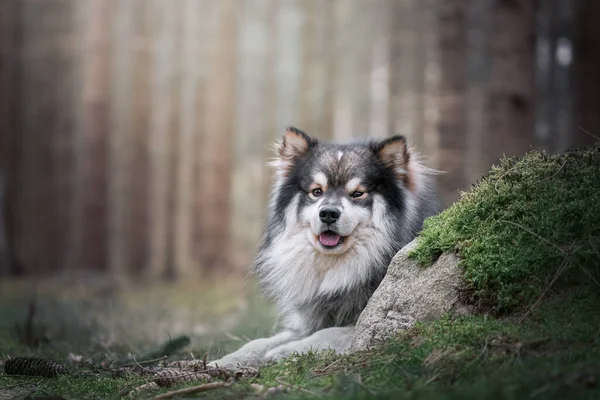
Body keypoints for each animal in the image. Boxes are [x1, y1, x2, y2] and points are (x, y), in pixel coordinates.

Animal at [210, 126, 440, 368]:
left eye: (357, 194)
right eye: (317, 191)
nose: (328, 213)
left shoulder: (365, 322)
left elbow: (327, 333)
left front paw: (285, 351)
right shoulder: (308, 322)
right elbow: (258, 342)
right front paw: (222, 361)